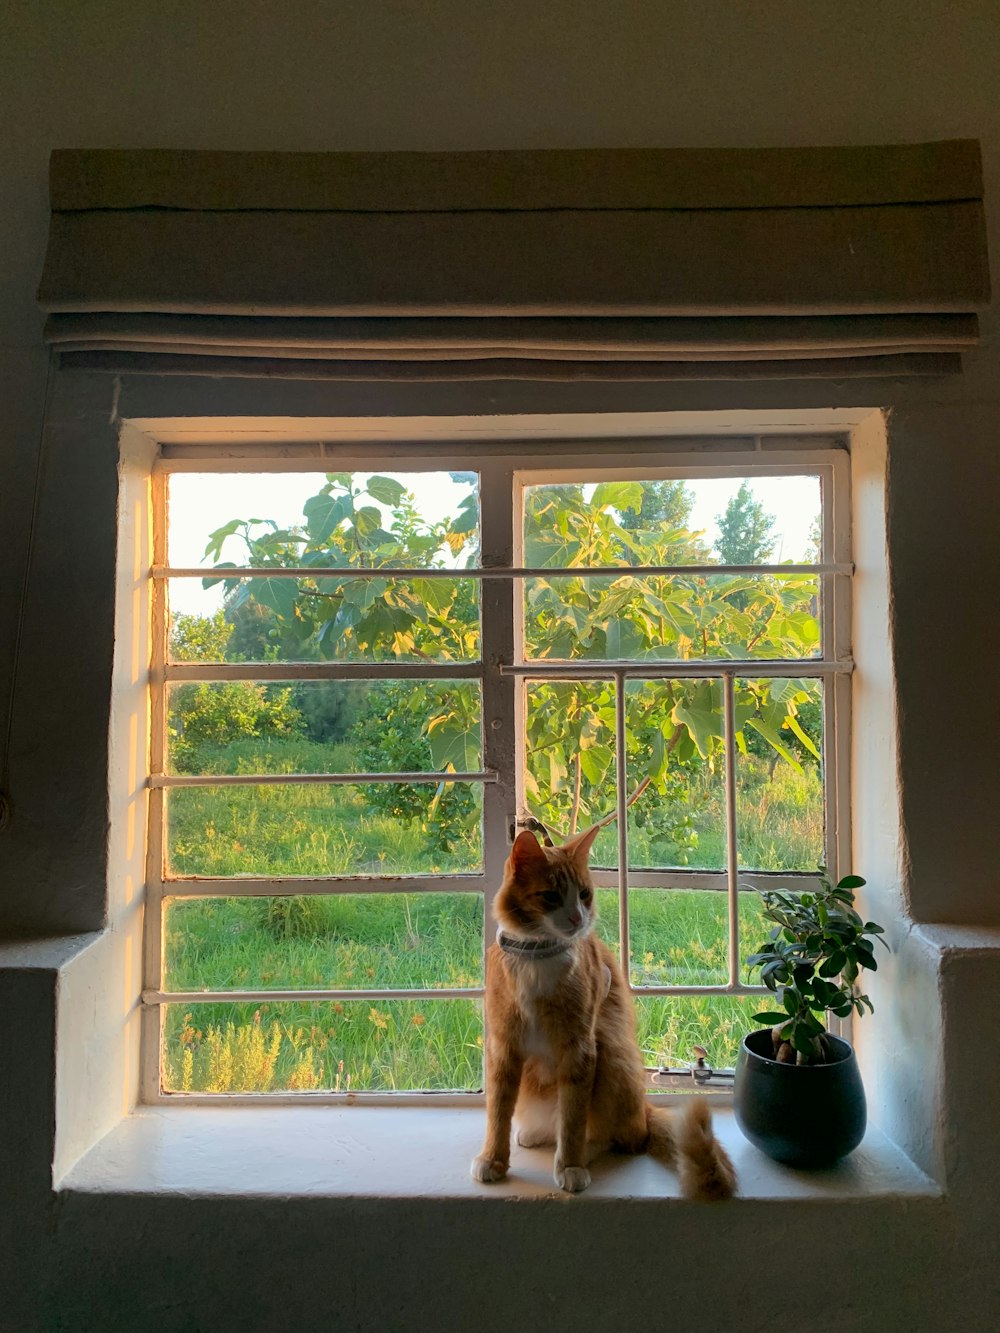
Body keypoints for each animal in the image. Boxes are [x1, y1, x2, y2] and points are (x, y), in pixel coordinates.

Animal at [469, 826, 736, 1205]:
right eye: (551, 896)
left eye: (584, 894)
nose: (578, 918)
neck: (538, 956)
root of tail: (643, 1108)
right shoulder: (504, 1047)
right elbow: (498, 1112)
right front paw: (494, 1159)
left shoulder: (579, 1048)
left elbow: (573, 1119)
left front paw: (569, 1164)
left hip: (609, 1049)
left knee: (624, 1137)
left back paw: (583, 1153)